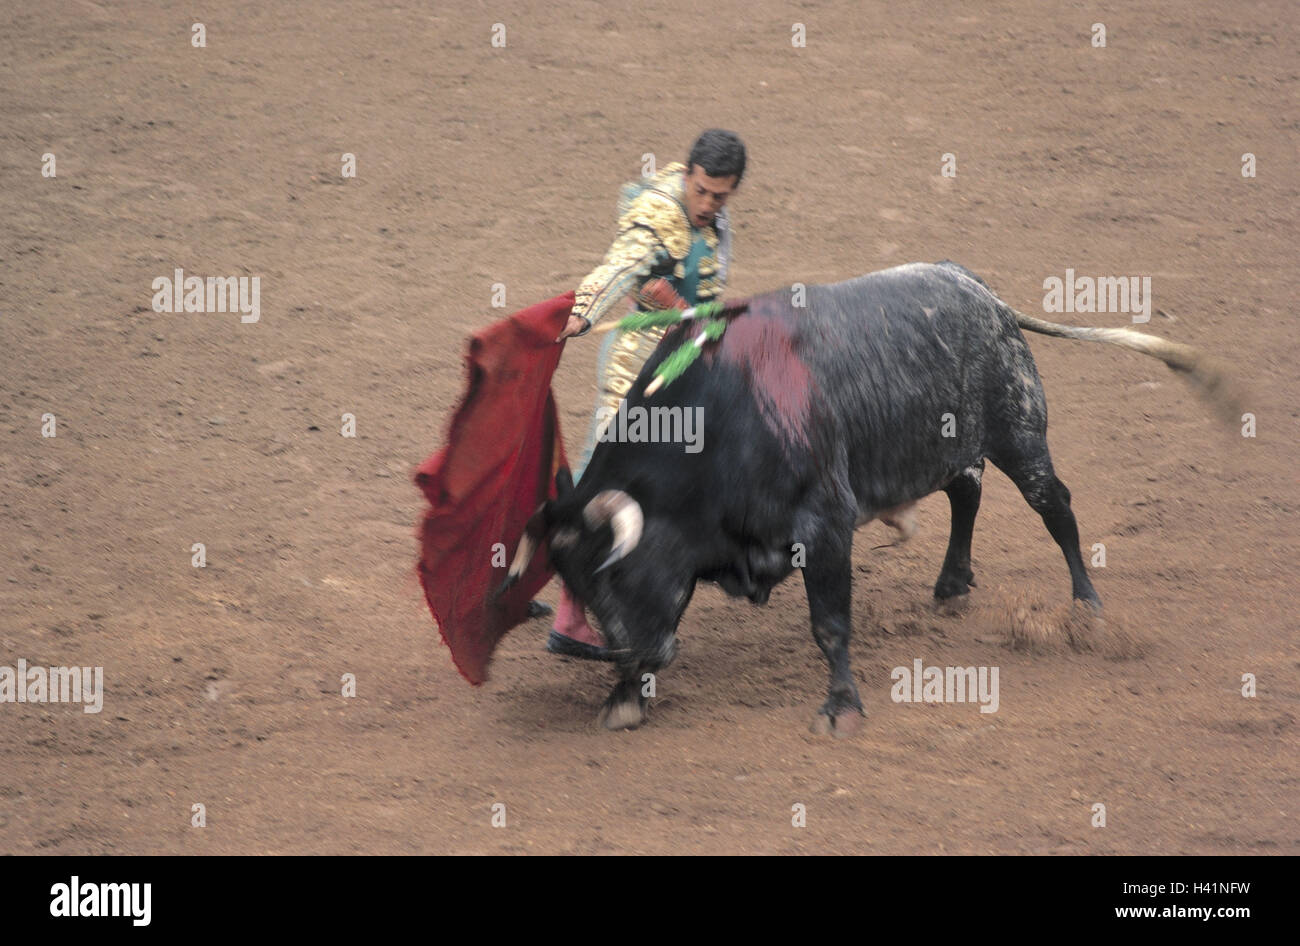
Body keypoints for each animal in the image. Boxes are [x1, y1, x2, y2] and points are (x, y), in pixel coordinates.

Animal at [501, 262, 1232, 732]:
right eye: (573, 581)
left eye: (616, 572)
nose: (637, 659)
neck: (725, 414)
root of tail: (982, 292)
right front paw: (624, 697)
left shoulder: (826, 525)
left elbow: (830, 624)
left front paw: (841, 709)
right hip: (948, 440)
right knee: (966, 491)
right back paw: (952, 585)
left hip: (1020, 431)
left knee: (1055, 508)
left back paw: (1086, 610)